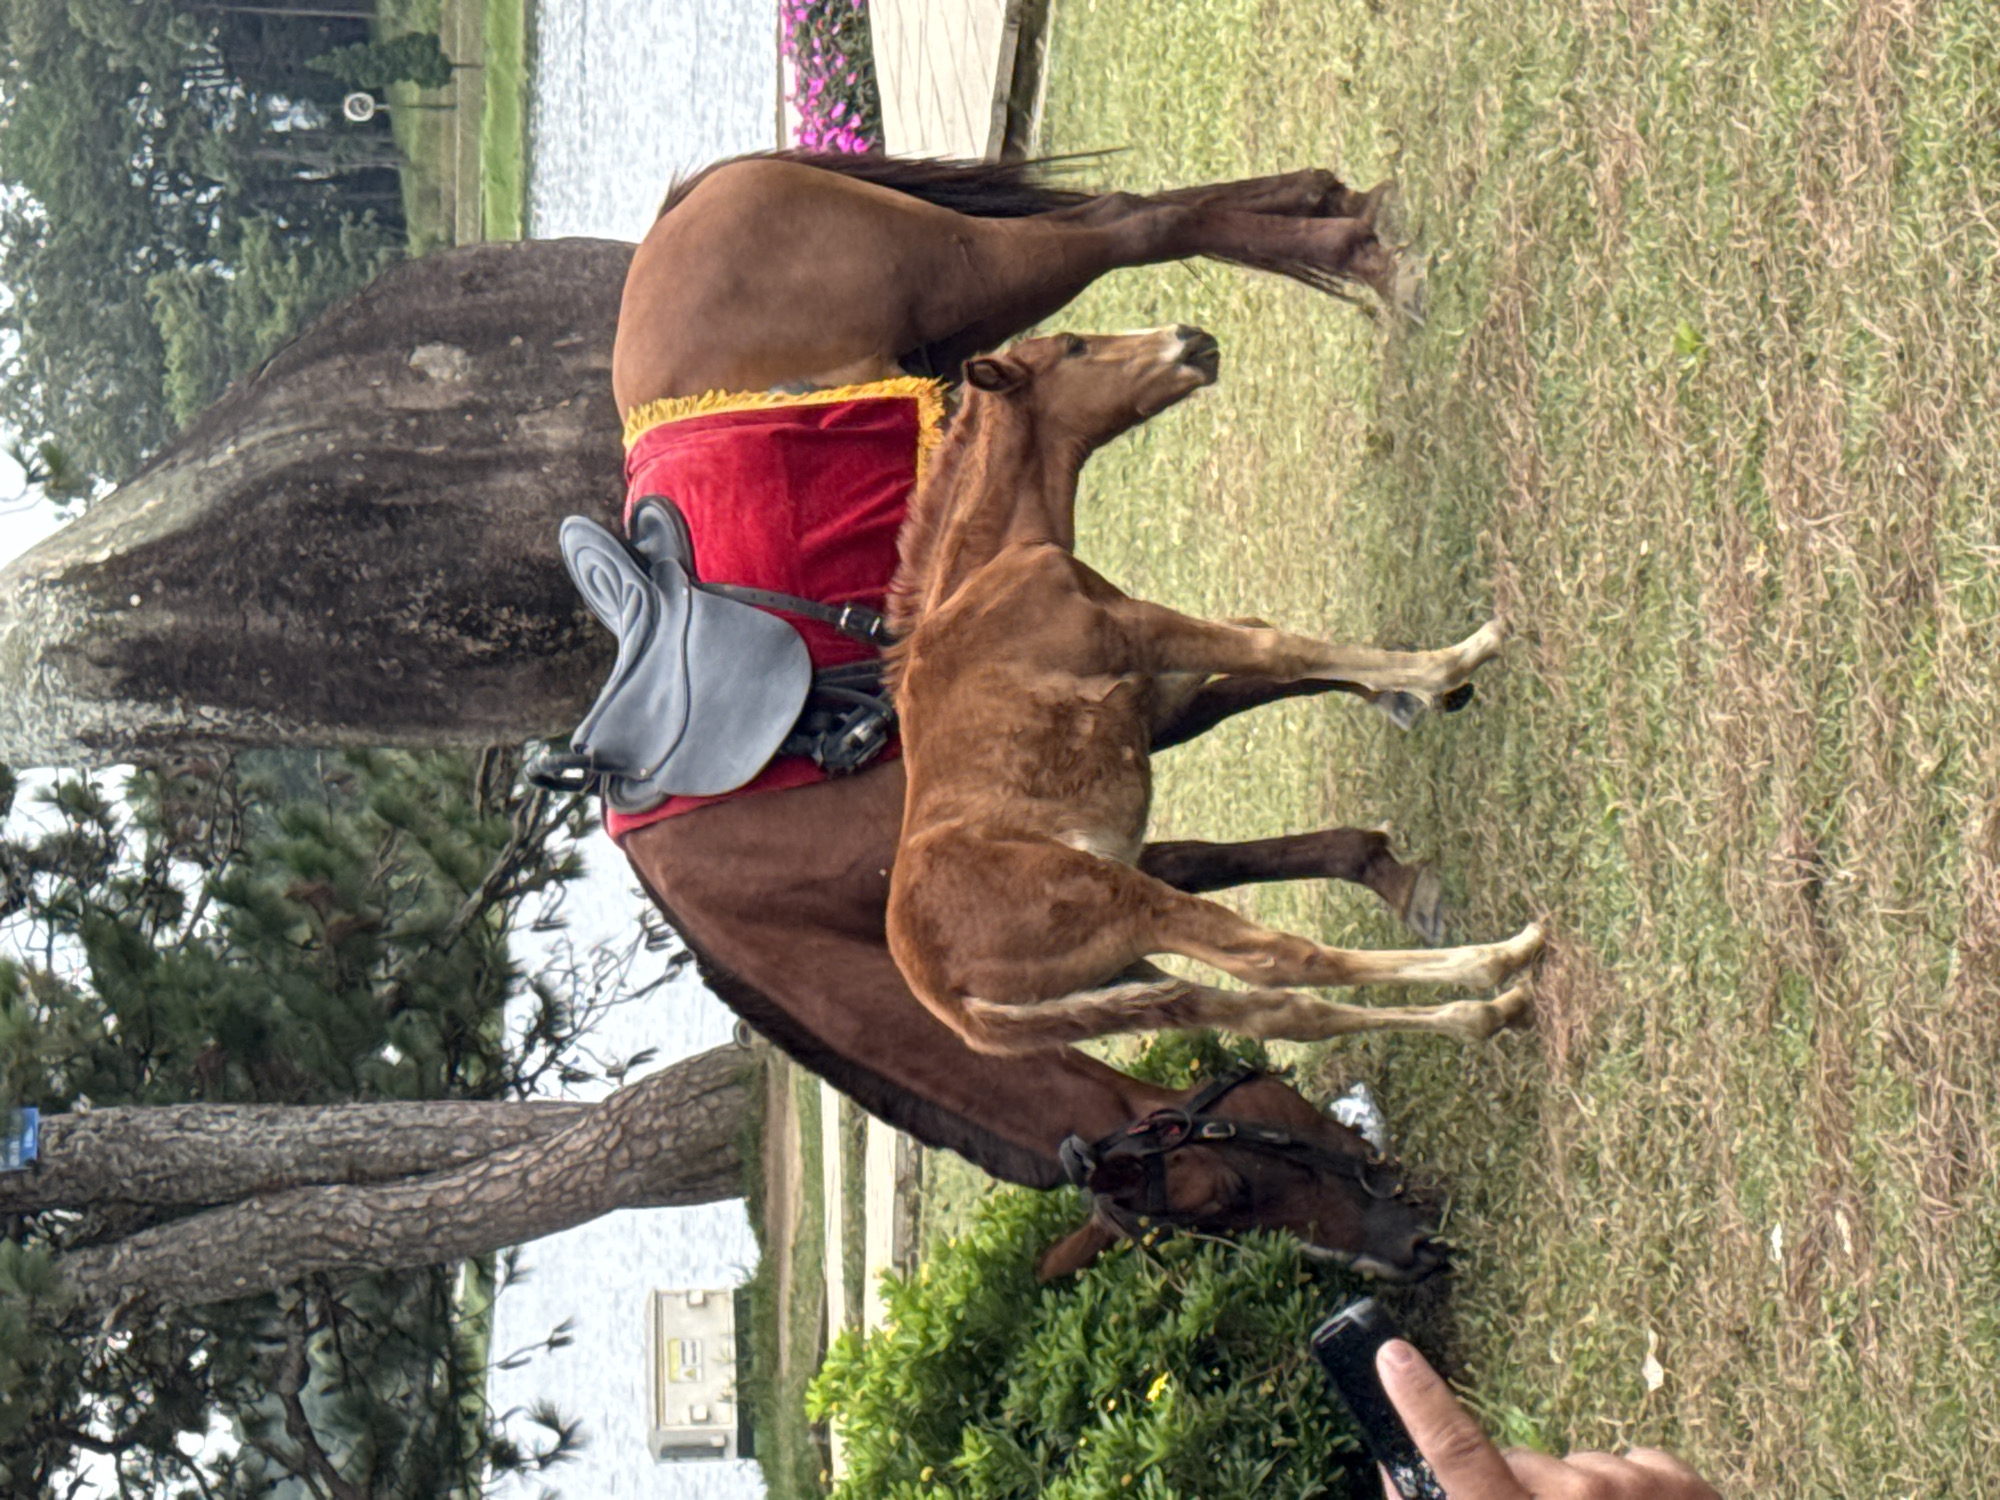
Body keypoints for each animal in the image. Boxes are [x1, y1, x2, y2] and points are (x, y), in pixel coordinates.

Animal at [882, 326, 1542, 1059]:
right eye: (1076, 347)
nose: (1191, 338)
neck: (992, 570)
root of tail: (959, 1006)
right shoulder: (1136, 632)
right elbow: (1278, 647)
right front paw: (1455, 661)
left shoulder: (1153, 695)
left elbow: (1261, 648)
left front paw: (1400, 695)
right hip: (1126, 901)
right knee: (1280, 958)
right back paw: (1496, 958)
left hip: (1126, 981)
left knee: (1277, 1012)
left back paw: (1486, 1011)